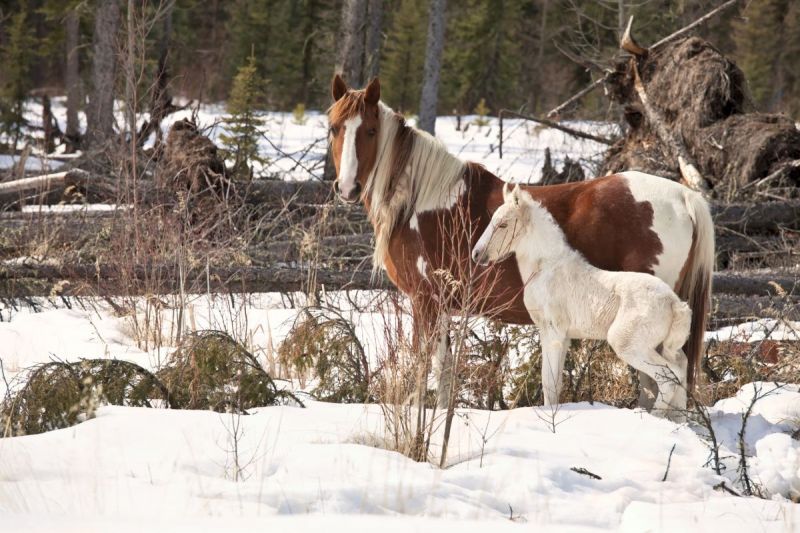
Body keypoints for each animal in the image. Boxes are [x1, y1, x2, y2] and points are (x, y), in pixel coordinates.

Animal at [472, 183, 692, 420]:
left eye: (503, 224)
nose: (477, 254)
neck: (546, 267)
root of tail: (674, 304)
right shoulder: (561, 336)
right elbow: (554, 383)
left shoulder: (553, 333)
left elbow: (549, 383)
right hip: (663, 346)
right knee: (682, 367)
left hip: (628, 345)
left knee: (668, 377)